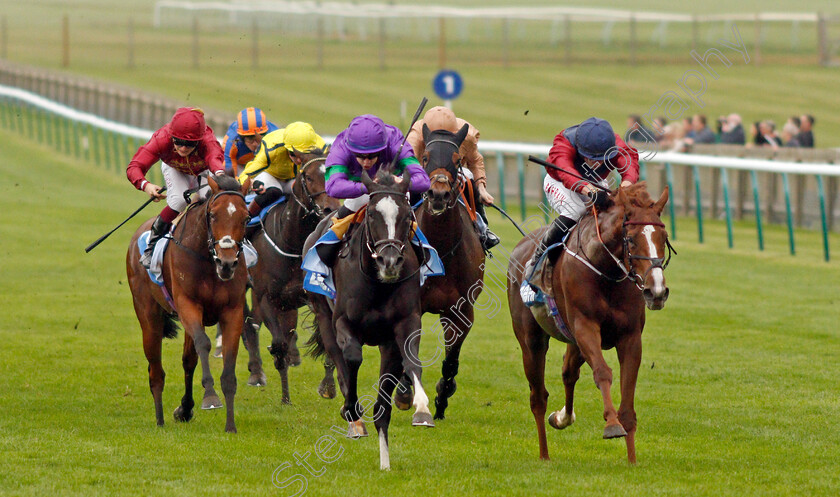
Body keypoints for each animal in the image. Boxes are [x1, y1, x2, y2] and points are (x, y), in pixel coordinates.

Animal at [124, 173, 249, 430]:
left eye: (246, 217)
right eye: (213, 215)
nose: (227, 263)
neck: (207, 259)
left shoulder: (233, 311)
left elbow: (227, 361)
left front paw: (230, 425)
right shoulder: (188, 305)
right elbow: (204, 344)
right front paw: (210, 397)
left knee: (188, 360)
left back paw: (185, 408)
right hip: (148, 316)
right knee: (156, 370)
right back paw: (160, 420)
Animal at [246, 149, 342, 402]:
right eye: (308, 177)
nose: (329, 208)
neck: (291, 242)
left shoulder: (308, 297)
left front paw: (328, 385)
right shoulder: (266, 298)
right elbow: (279, 343)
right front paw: (285, 397)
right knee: (250, 325)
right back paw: (256, 373)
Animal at [304, 170, 434, 468]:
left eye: (407, 215)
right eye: (373, 214)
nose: (390, 261)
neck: (378, 283)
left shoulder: (404, 325)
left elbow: (411, 363)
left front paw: (422, 410)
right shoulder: (343, 322)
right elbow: (352, 359)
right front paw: (351, 410)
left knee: (382, 406)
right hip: (323, 314)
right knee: (338, 358)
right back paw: (354, 420)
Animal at [506, 182, 676, 462]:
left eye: (664, 238)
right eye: (631, 239)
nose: (657, 291)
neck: (606, 270)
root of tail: (520, 246)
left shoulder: (630, 337)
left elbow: (627, 393)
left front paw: (632, 460)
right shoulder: (585, 327)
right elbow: (603, 373)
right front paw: (612, 425)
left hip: (572, 340)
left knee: (568, 373)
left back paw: (562, 417)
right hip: (531, 340)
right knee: (538, 396)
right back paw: (544, 455)